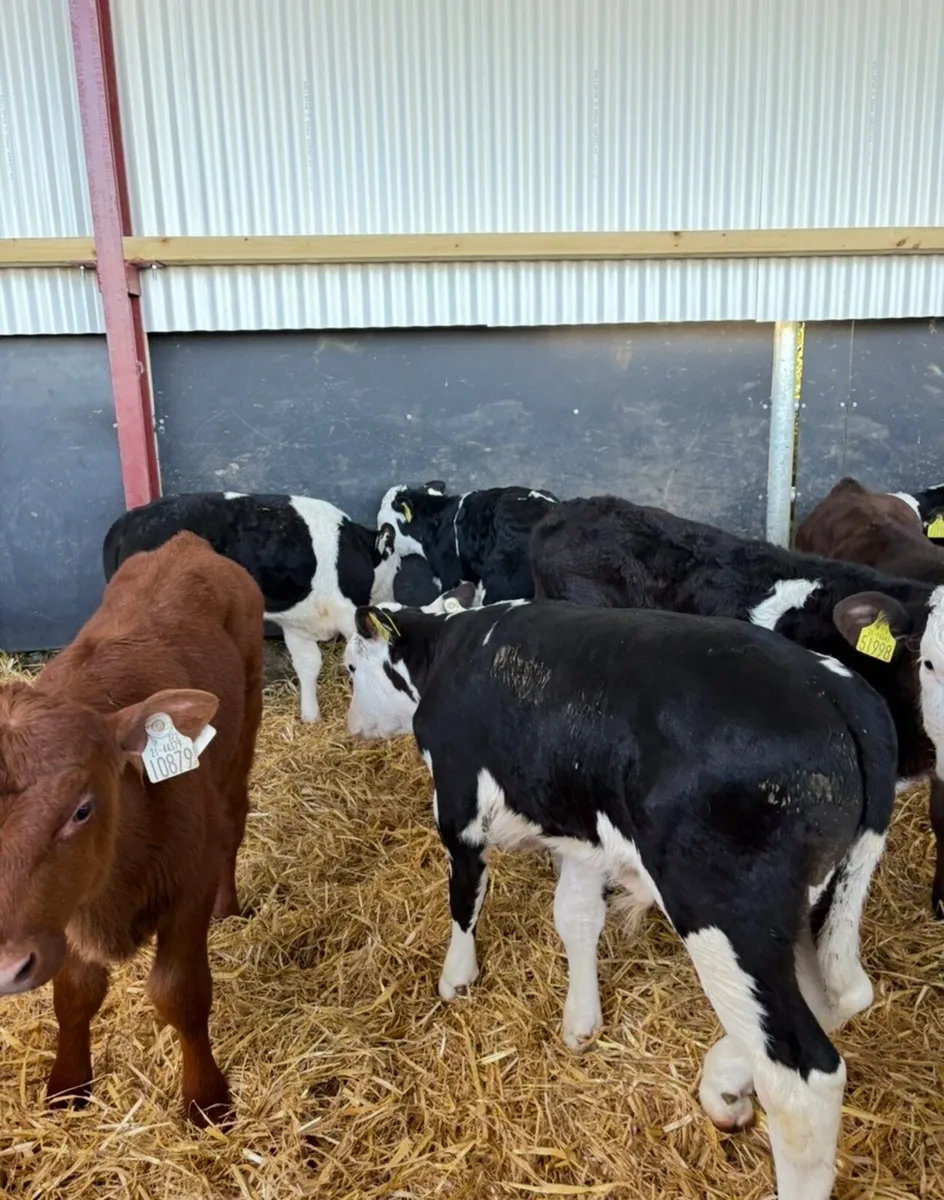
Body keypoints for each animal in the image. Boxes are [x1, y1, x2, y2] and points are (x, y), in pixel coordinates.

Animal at [0, 531, 263, 1126]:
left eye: (82, 809)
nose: (4, 968)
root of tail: (185, 542)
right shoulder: (64, 910)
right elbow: (75, 993)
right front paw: (68, 1086)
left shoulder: (190, 884)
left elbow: (180, 992)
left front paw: (206, 1099)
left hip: (247, 721)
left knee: (234, 820)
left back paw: (230, 907)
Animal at [102, 491, 400, 723]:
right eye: (396, 565)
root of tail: (129, 519)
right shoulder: (349, 614)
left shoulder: (298, 623)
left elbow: (308, 665)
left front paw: (310, 716)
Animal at [343, 597, 895, 1200]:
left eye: (349, 666)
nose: (350, 726)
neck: (449, 646)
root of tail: (836, 690)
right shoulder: (585, 832)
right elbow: (576, 917)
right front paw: (581, 1018)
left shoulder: (459, 804)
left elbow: (465, 897)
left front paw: (456, 977)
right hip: (831, 893)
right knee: (840, 996)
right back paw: (724, 1080)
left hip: (725, 914)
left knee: (800, 1080)